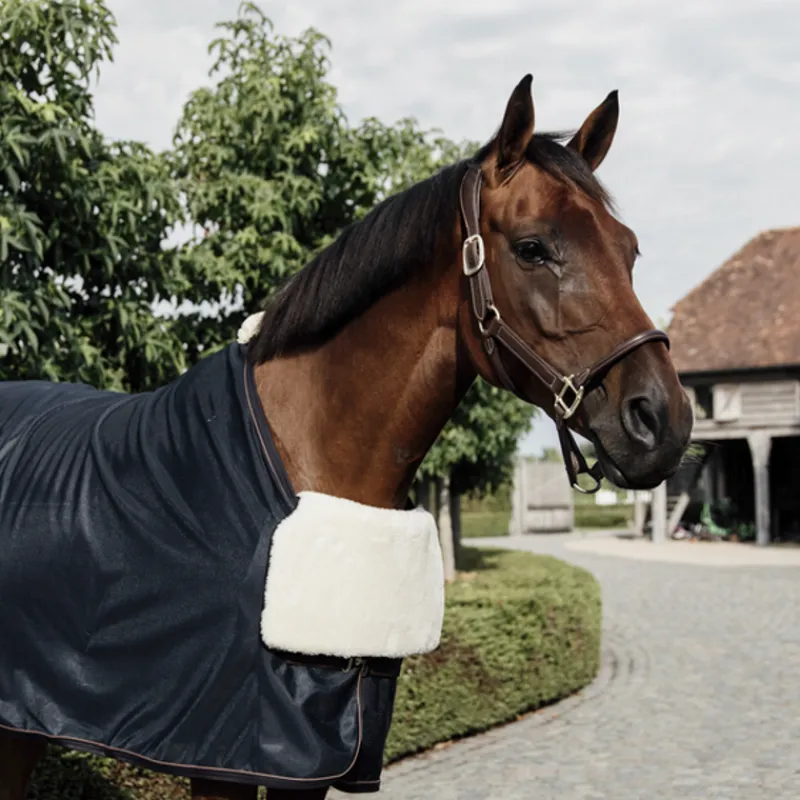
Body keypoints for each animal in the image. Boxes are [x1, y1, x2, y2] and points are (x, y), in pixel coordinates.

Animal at [0, 75, 693, 800]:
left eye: (630, 250)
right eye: (533, 247)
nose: (661, 419)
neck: (301, 462)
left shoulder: (319, 751)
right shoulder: (225, 758)